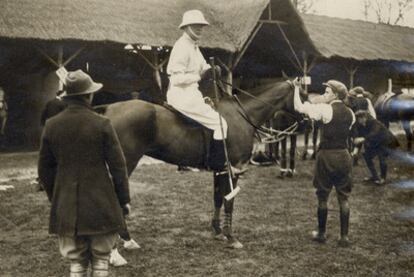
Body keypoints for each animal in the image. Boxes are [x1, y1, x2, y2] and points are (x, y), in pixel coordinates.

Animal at [101, 77, 300, 248]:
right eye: (303, 93)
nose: (305, 120)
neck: (242, 115)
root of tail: (109, 109)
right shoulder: (234, 169)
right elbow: (229, 201)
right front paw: (230, 236)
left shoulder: (220, 170)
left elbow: (218, 198)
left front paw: (218, 231)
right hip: (126, 161)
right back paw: (126, 239)